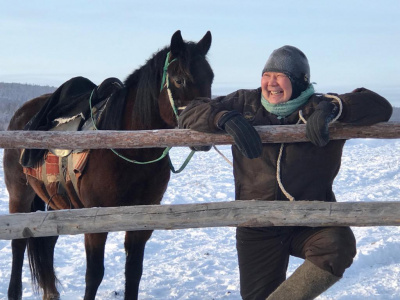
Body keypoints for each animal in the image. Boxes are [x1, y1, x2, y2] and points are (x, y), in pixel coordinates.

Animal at [3, 30, 216, 300]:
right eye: (180, 80)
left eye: (210, 77)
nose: (206, 132)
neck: (130, 150)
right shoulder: (95, 222)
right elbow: (94, 275)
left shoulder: (142, 222)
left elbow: (133, 273)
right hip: (19, 196)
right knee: (19, 243)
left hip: (56, 203)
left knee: (48, 243)